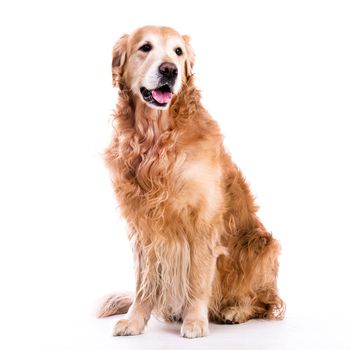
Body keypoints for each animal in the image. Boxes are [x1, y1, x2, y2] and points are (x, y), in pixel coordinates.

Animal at [98, 26, 284, 338]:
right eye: (145, 47)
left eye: (178, 52)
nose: (169, 70)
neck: (155, 140)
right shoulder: (142, 227)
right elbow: (143, 283)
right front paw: (135, 321)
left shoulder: (202, 223)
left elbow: (197, 278)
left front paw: (195, 321)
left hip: (262, 245)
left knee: (264, 303)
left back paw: (235, 310)